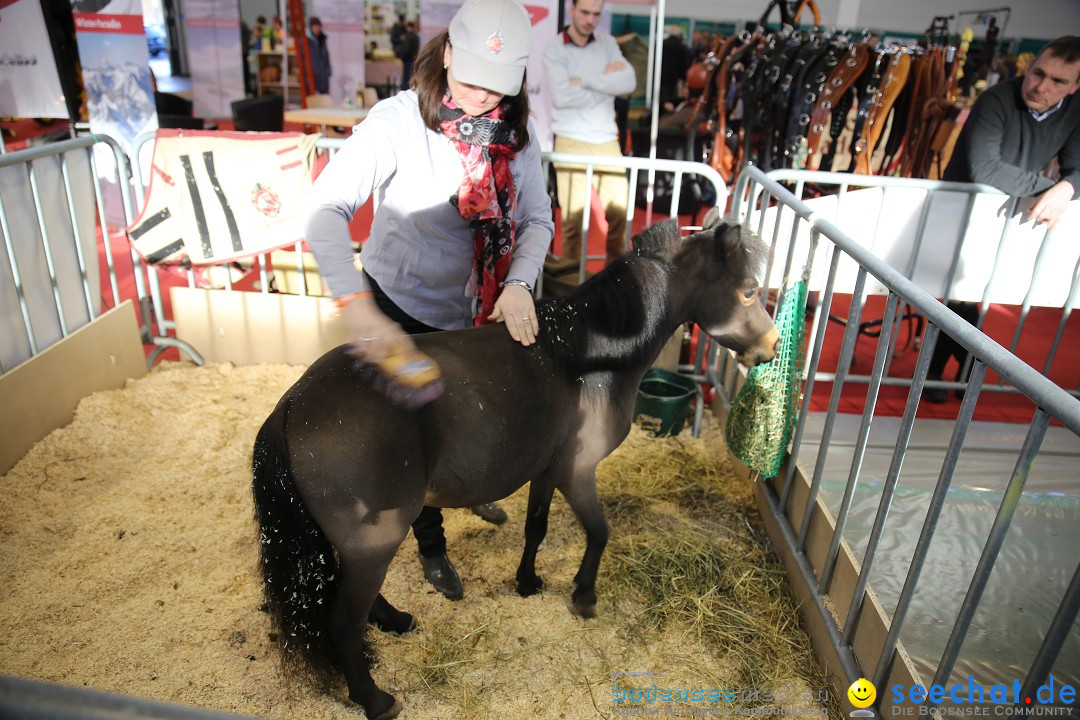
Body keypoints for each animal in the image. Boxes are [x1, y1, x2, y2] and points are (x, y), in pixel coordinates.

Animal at [252, 220, 777, 720]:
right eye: (750, 290)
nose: (771, 345)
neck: (587, 353)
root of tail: (291, 404)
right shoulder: (577, 473)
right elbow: (600, 532)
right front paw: (584, 596)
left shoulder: (546, 472)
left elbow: (536, 528)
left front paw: (527, 583)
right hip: (374, 540)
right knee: (343, 619)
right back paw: (375, 698)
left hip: (360, 545)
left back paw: (397, 622)